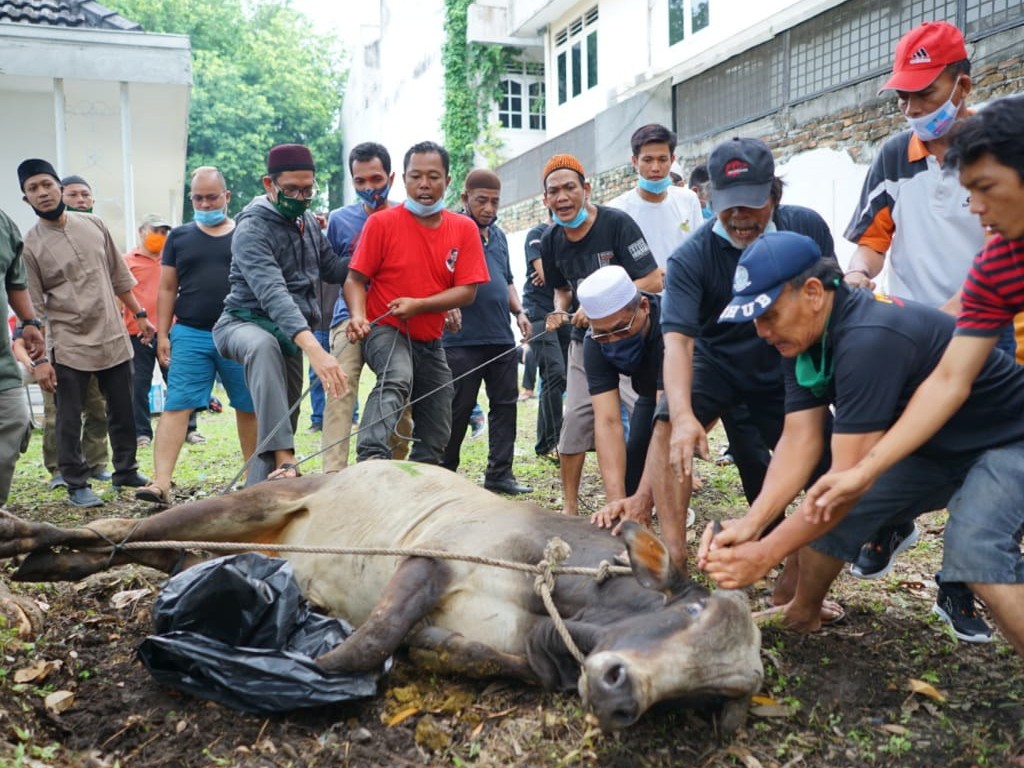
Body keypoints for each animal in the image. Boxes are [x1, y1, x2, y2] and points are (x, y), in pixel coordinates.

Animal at [0, 462, 761, 733]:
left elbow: (442, 648)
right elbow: (371, 641)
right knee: (124, 533)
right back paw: (27, 542)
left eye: (715, 695)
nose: (620, 689)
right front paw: (307, 672)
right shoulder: (431, 557)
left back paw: (49, 561)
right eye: (692, 609)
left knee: (144, 552)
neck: (553, 589)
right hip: (247, 503)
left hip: (231, 546)